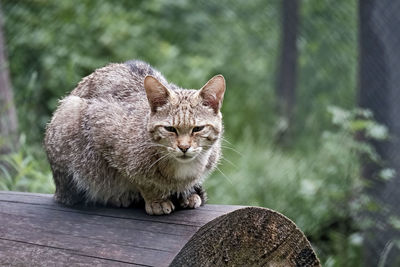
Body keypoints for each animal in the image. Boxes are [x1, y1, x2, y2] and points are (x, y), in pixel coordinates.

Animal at [44, 60, 225, 216]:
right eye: (170, 129)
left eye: (198, 129)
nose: (184, 147)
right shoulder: (101, 126)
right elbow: (137, 178)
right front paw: (156, 199)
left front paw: (186, 194)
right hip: (70, 112)